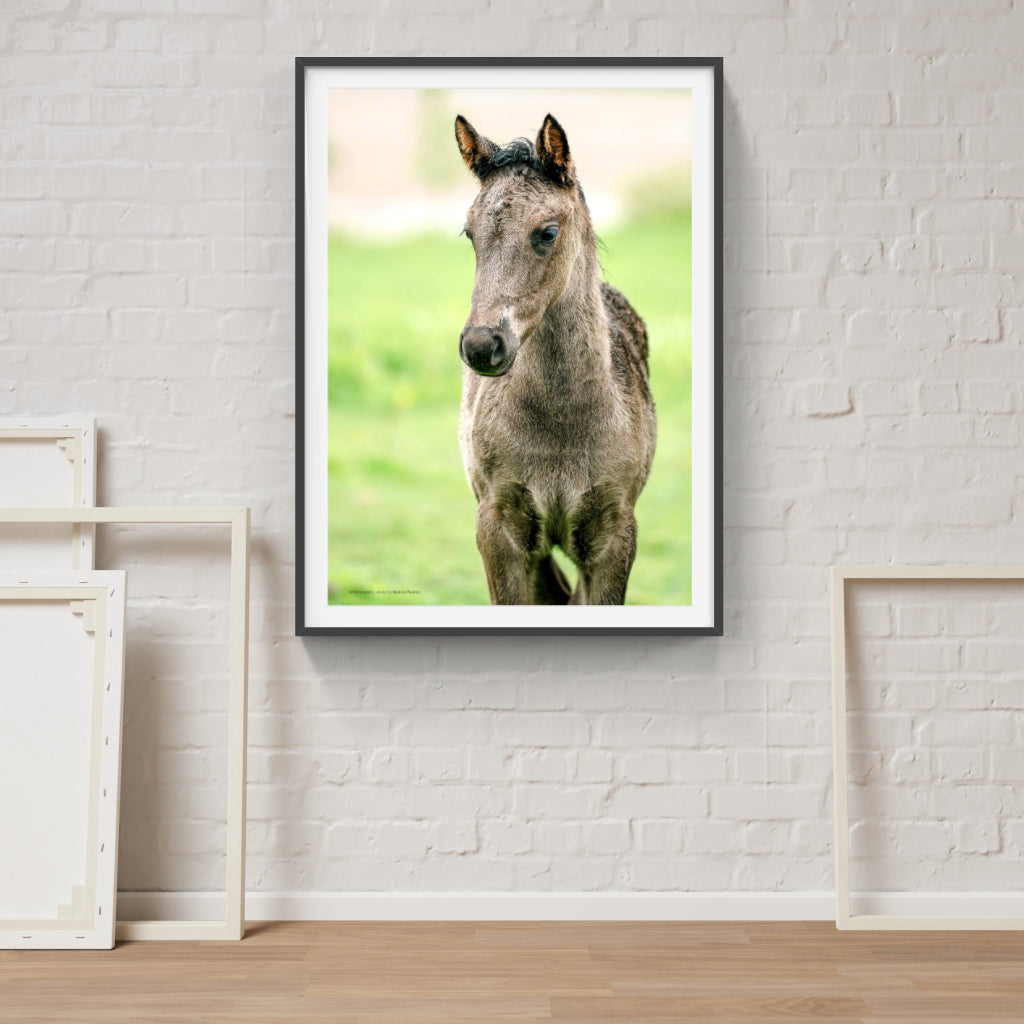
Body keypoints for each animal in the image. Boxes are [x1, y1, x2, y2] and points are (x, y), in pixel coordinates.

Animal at [455, 113, 657, 606]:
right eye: (470, 233)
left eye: (547, 232)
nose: (482, 345)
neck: (561, 425)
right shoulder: (498, 528)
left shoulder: (614, 534)